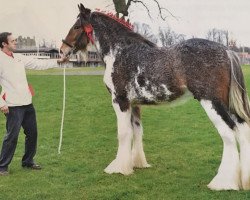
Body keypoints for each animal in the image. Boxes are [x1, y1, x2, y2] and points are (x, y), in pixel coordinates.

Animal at [59, 3, 250, 191]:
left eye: (76, 26)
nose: (62, 50)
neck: (120, 53)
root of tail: (227, 50)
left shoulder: (120, 102)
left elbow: (123, 134)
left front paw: (118, 168)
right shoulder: (134, 105)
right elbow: (137, 131)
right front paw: (136, 163)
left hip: (211, 102)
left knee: (229, 134)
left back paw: (223, 183)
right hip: (228, 104)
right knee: (242, 130)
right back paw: (244, 181)